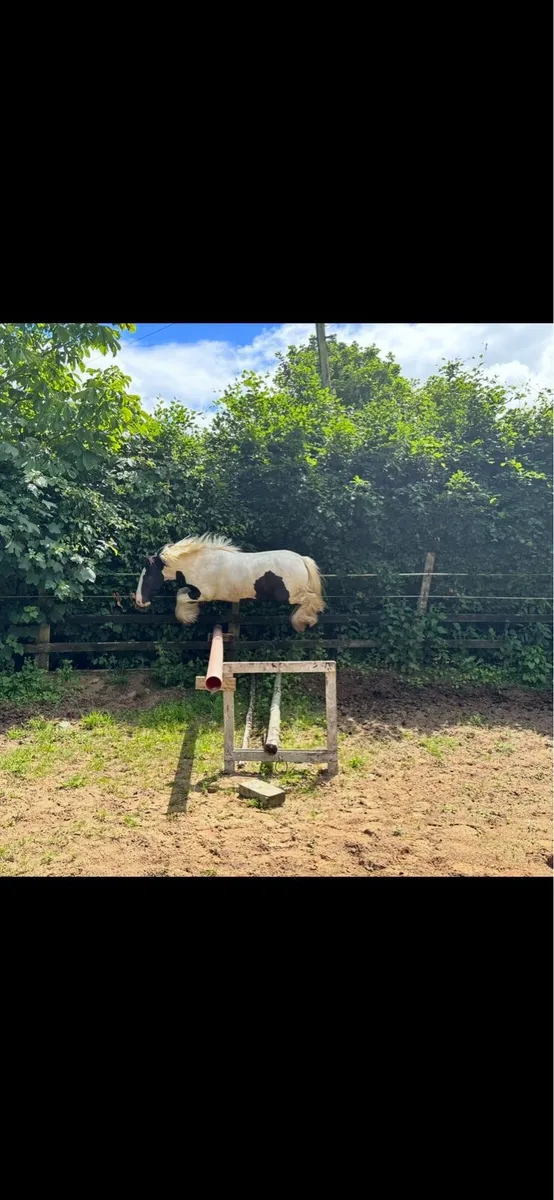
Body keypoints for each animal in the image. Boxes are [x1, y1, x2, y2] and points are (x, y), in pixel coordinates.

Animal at [134, 534, 325, 632]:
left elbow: (179, 597)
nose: (139, 602)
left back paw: (302, 622)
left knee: (312, 599)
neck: (200, 564)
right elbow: (180, 593)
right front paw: (191, 614)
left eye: (147, 576)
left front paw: (188, 618)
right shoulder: (194, 590)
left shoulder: (204, 593)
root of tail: (301, 559)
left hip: (290, 595)